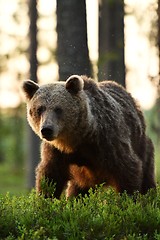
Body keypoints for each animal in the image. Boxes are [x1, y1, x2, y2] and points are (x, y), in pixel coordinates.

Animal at [21, 75, 156, 199]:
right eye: (40, 109)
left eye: (58, 109)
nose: (46, 130)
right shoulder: (56, 151)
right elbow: (51, 176)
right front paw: (45, 200)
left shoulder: (108, 141)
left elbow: (127, 169)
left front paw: (127, 200)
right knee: (78, 190)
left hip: (142, 145)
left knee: (147, 176)